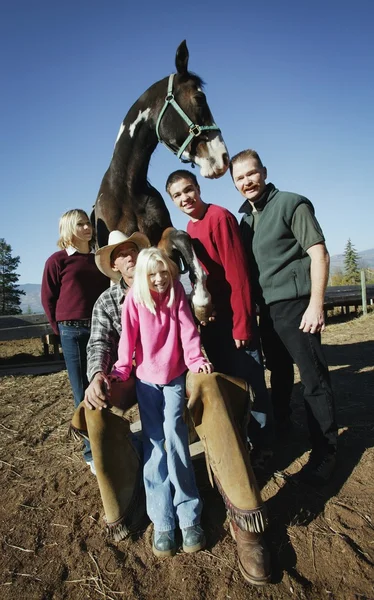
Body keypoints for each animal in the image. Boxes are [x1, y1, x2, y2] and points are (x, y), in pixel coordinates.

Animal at [93, 39, 228, 322]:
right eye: (200, 98)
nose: (222, 157)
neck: (128, 191)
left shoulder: (162, 243)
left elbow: (180, 236)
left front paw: (201, 300)